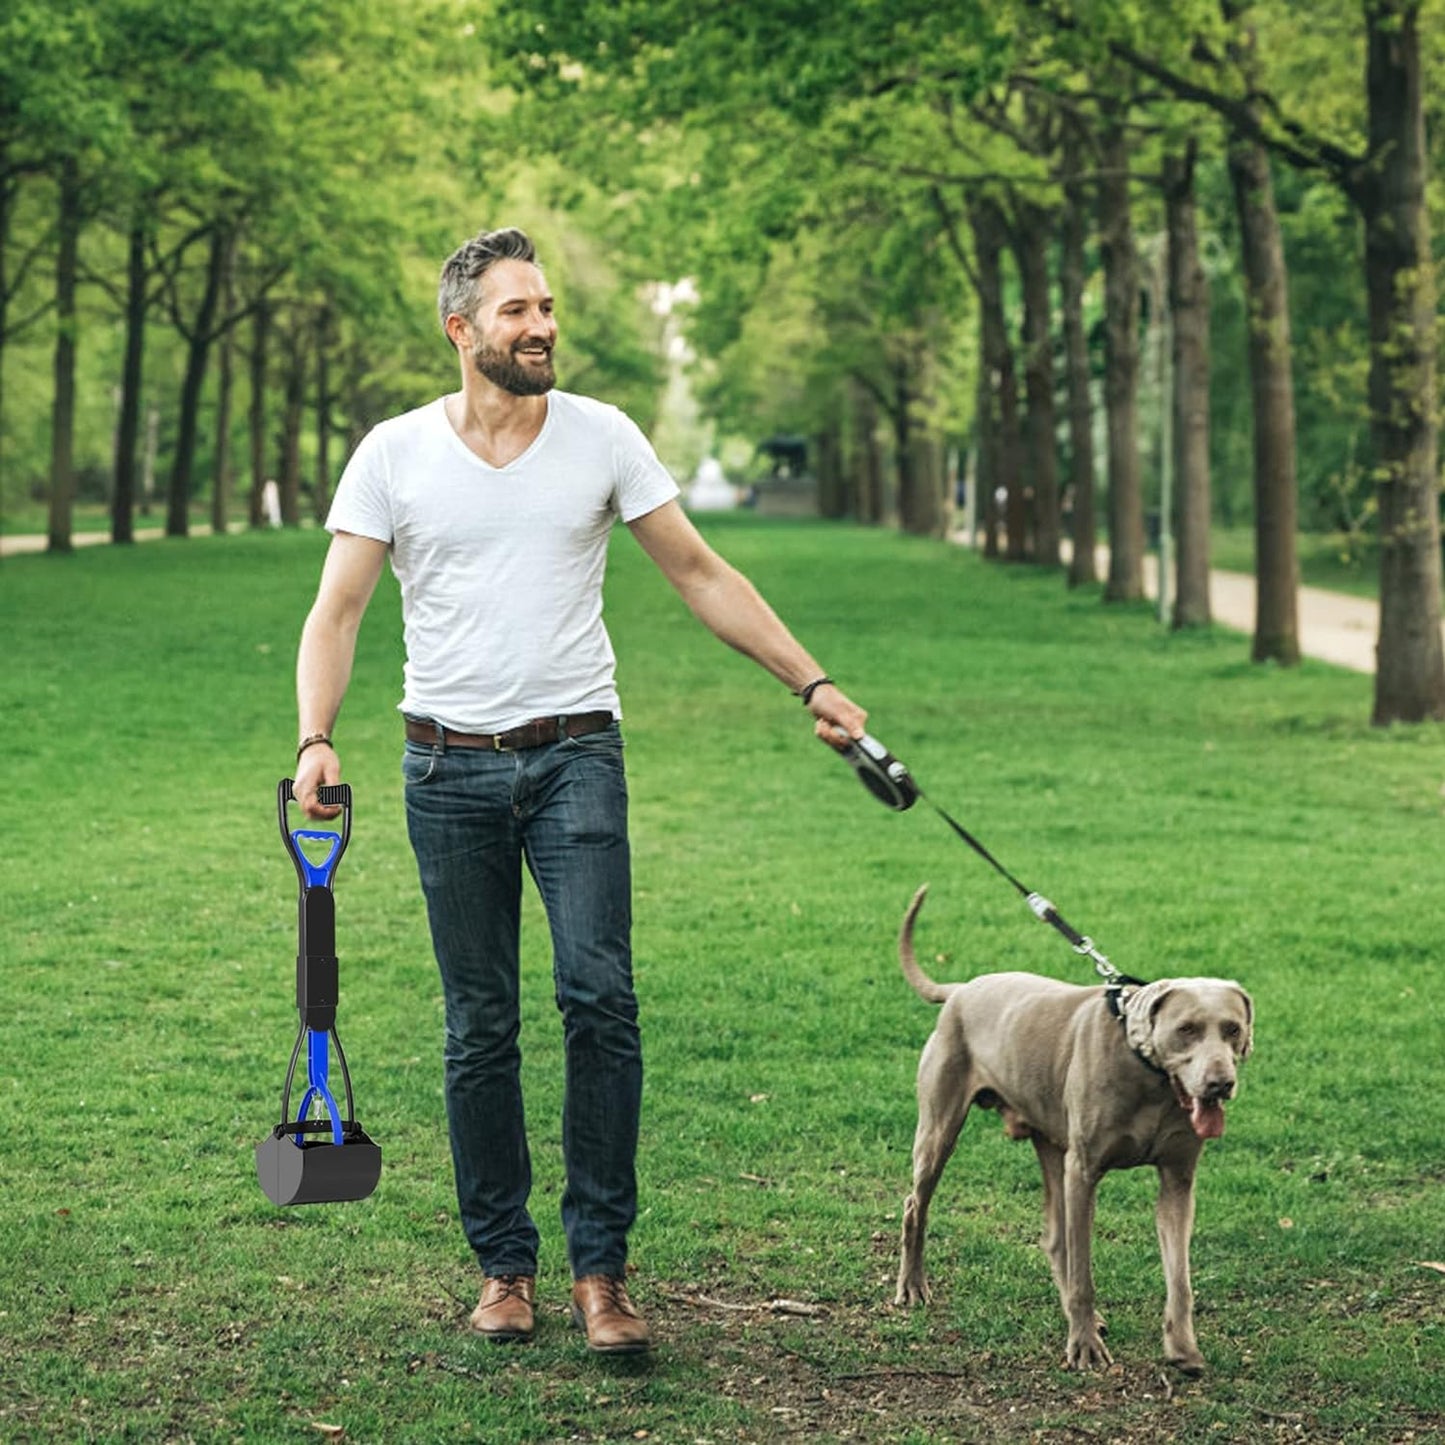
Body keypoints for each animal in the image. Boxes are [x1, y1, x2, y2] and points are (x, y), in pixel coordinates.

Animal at [890, 884, 1254, 1369]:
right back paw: (912, 1286)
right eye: (1187, 1029)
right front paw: (1084, 1346)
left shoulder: (1177, 1180)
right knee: (917, 1204)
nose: (1220, 1084)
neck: (1150, 1078)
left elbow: (1179, 1275)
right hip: (940, 1127)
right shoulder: (1083, 1172)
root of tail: (962, 989)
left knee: (1054, 1236)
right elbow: (1084, 1272)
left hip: (1049, 1138)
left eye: (1232, 1029)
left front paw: (1182, 1347)